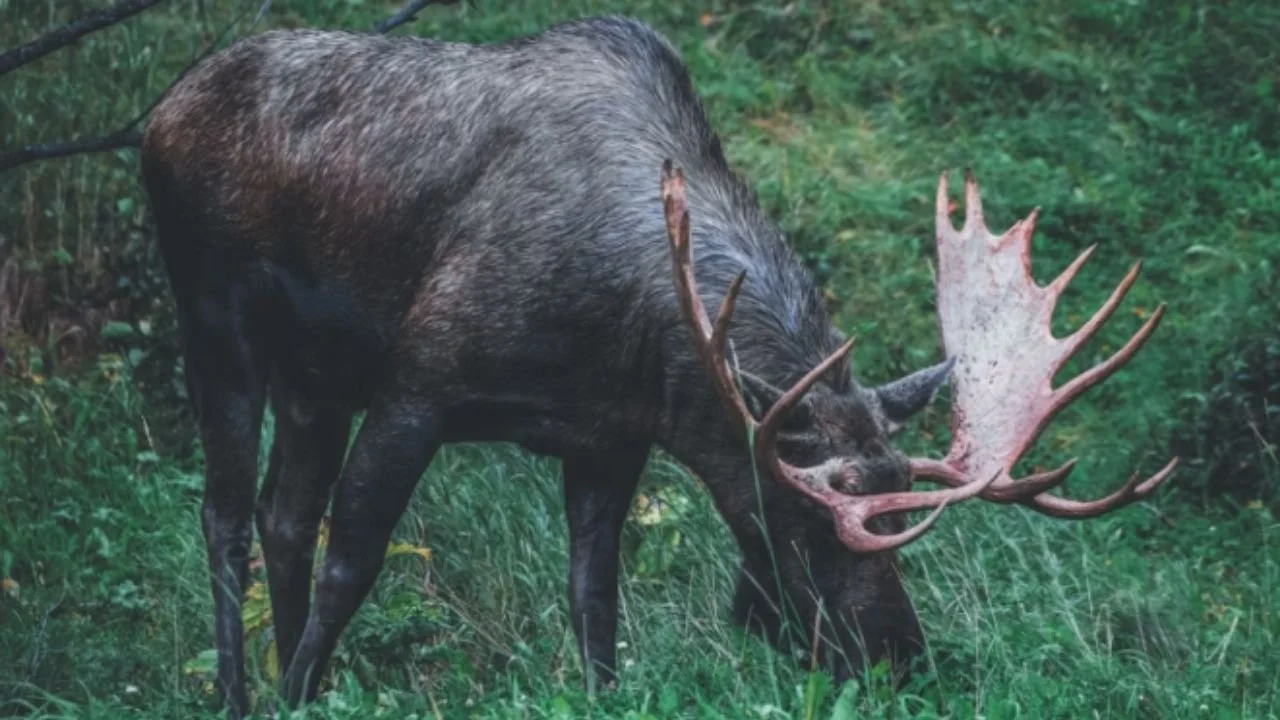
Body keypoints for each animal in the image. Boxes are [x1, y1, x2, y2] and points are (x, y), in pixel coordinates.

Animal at [137, 15, 1177, 718]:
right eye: (803, 524)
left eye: (901, 522)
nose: (899, 661)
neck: (634, 333)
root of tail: (158, 113)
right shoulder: (418, 386)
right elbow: (353, 561)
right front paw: (300, 692)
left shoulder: (610, 437)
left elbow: (595, 599)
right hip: (218, 326)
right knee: (225, 516)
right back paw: (245, 691)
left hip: (315, 380)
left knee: (281, 517)